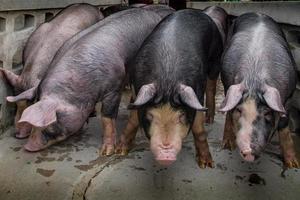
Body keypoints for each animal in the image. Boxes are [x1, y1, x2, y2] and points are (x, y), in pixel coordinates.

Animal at [115, 8, 227, 167]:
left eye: (181, 116)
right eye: (150, 115)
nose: (165, 155)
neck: (167, 80)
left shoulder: (196, 94)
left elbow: (198, 128)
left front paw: (206, 164)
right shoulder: (137, 90)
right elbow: (133, 120)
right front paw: (119, 151)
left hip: (215, 59)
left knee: (211, 88)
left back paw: (209, 120)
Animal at [219, 12, 298, 168]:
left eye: (267, 112)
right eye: (239, 110)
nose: (249, 151)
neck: (254, 79)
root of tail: (256, 13)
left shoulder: (289, 98)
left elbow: (284, 126)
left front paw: (293, 165)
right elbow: (230, 112)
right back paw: (227, 145)